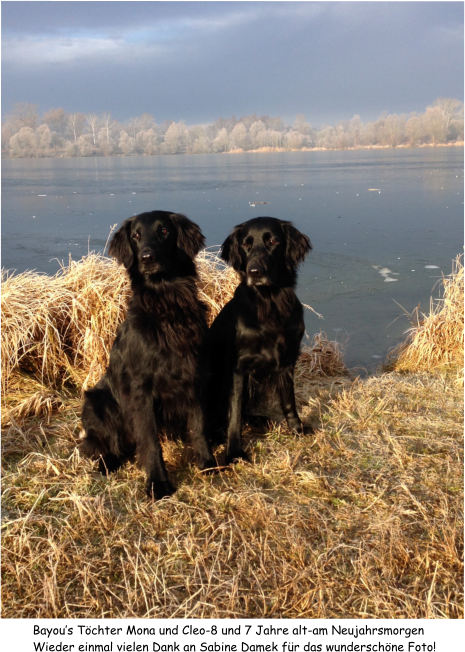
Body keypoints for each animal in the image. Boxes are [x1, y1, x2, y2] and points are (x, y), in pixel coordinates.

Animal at [79, 209, 216, 500]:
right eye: (136, 236)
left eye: (164, 231)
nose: (146, 257)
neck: (167, 305)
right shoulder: (141, 390)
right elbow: (151, 441)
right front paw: (158, 484)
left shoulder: (195, 376)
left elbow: (199, 426)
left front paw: (208, 464)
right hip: (96, 403)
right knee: (105, 445)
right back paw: (109, 464)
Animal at [208, 218, 314, 464]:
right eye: (246, 245)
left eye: (273, 241)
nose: (254, 272)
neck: (270, 303)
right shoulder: (238, 369)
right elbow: (234, 414)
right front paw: (234, 452)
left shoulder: (287, 360)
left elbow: (289, 401)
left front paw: (297, 429)